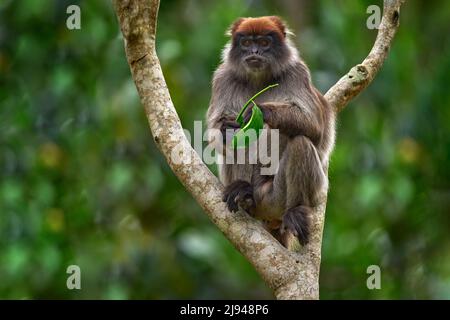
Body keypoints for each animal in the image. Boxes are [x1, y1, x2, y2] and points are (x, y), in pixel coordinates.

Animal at [206, 16, 336, 249]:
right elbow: (217, 132)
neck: (259, 79)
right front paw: (226, 129)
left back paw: (294, 212)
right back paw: (244, 193)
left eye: (265, 43)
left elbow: (315, 128)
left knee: (300, 143)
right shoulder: (223, 77)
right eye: (247, 43)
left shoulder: (297, 73)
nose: (255, 51)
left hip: (275, 198)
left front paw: (258, 110)